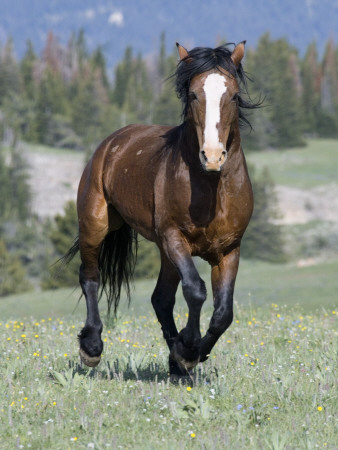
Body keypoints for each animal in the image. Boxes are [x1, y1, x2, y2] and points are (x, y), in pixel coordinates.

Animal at [64, 41, 260, 380]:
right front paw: (188, 350)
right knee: (90, 277)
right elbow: (195, 290)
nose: (212, 156)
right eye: (193, 94)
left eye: (233, 96)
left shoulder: (229, 249)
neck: (211, 186)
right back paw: (91, 348)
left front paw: (187, 354)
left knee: (161, 299)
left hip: (166, 253)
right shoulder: (174, 238)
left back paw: (174, 362)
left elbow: (223, 313)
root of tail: (113, 142)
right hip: (96, 224)